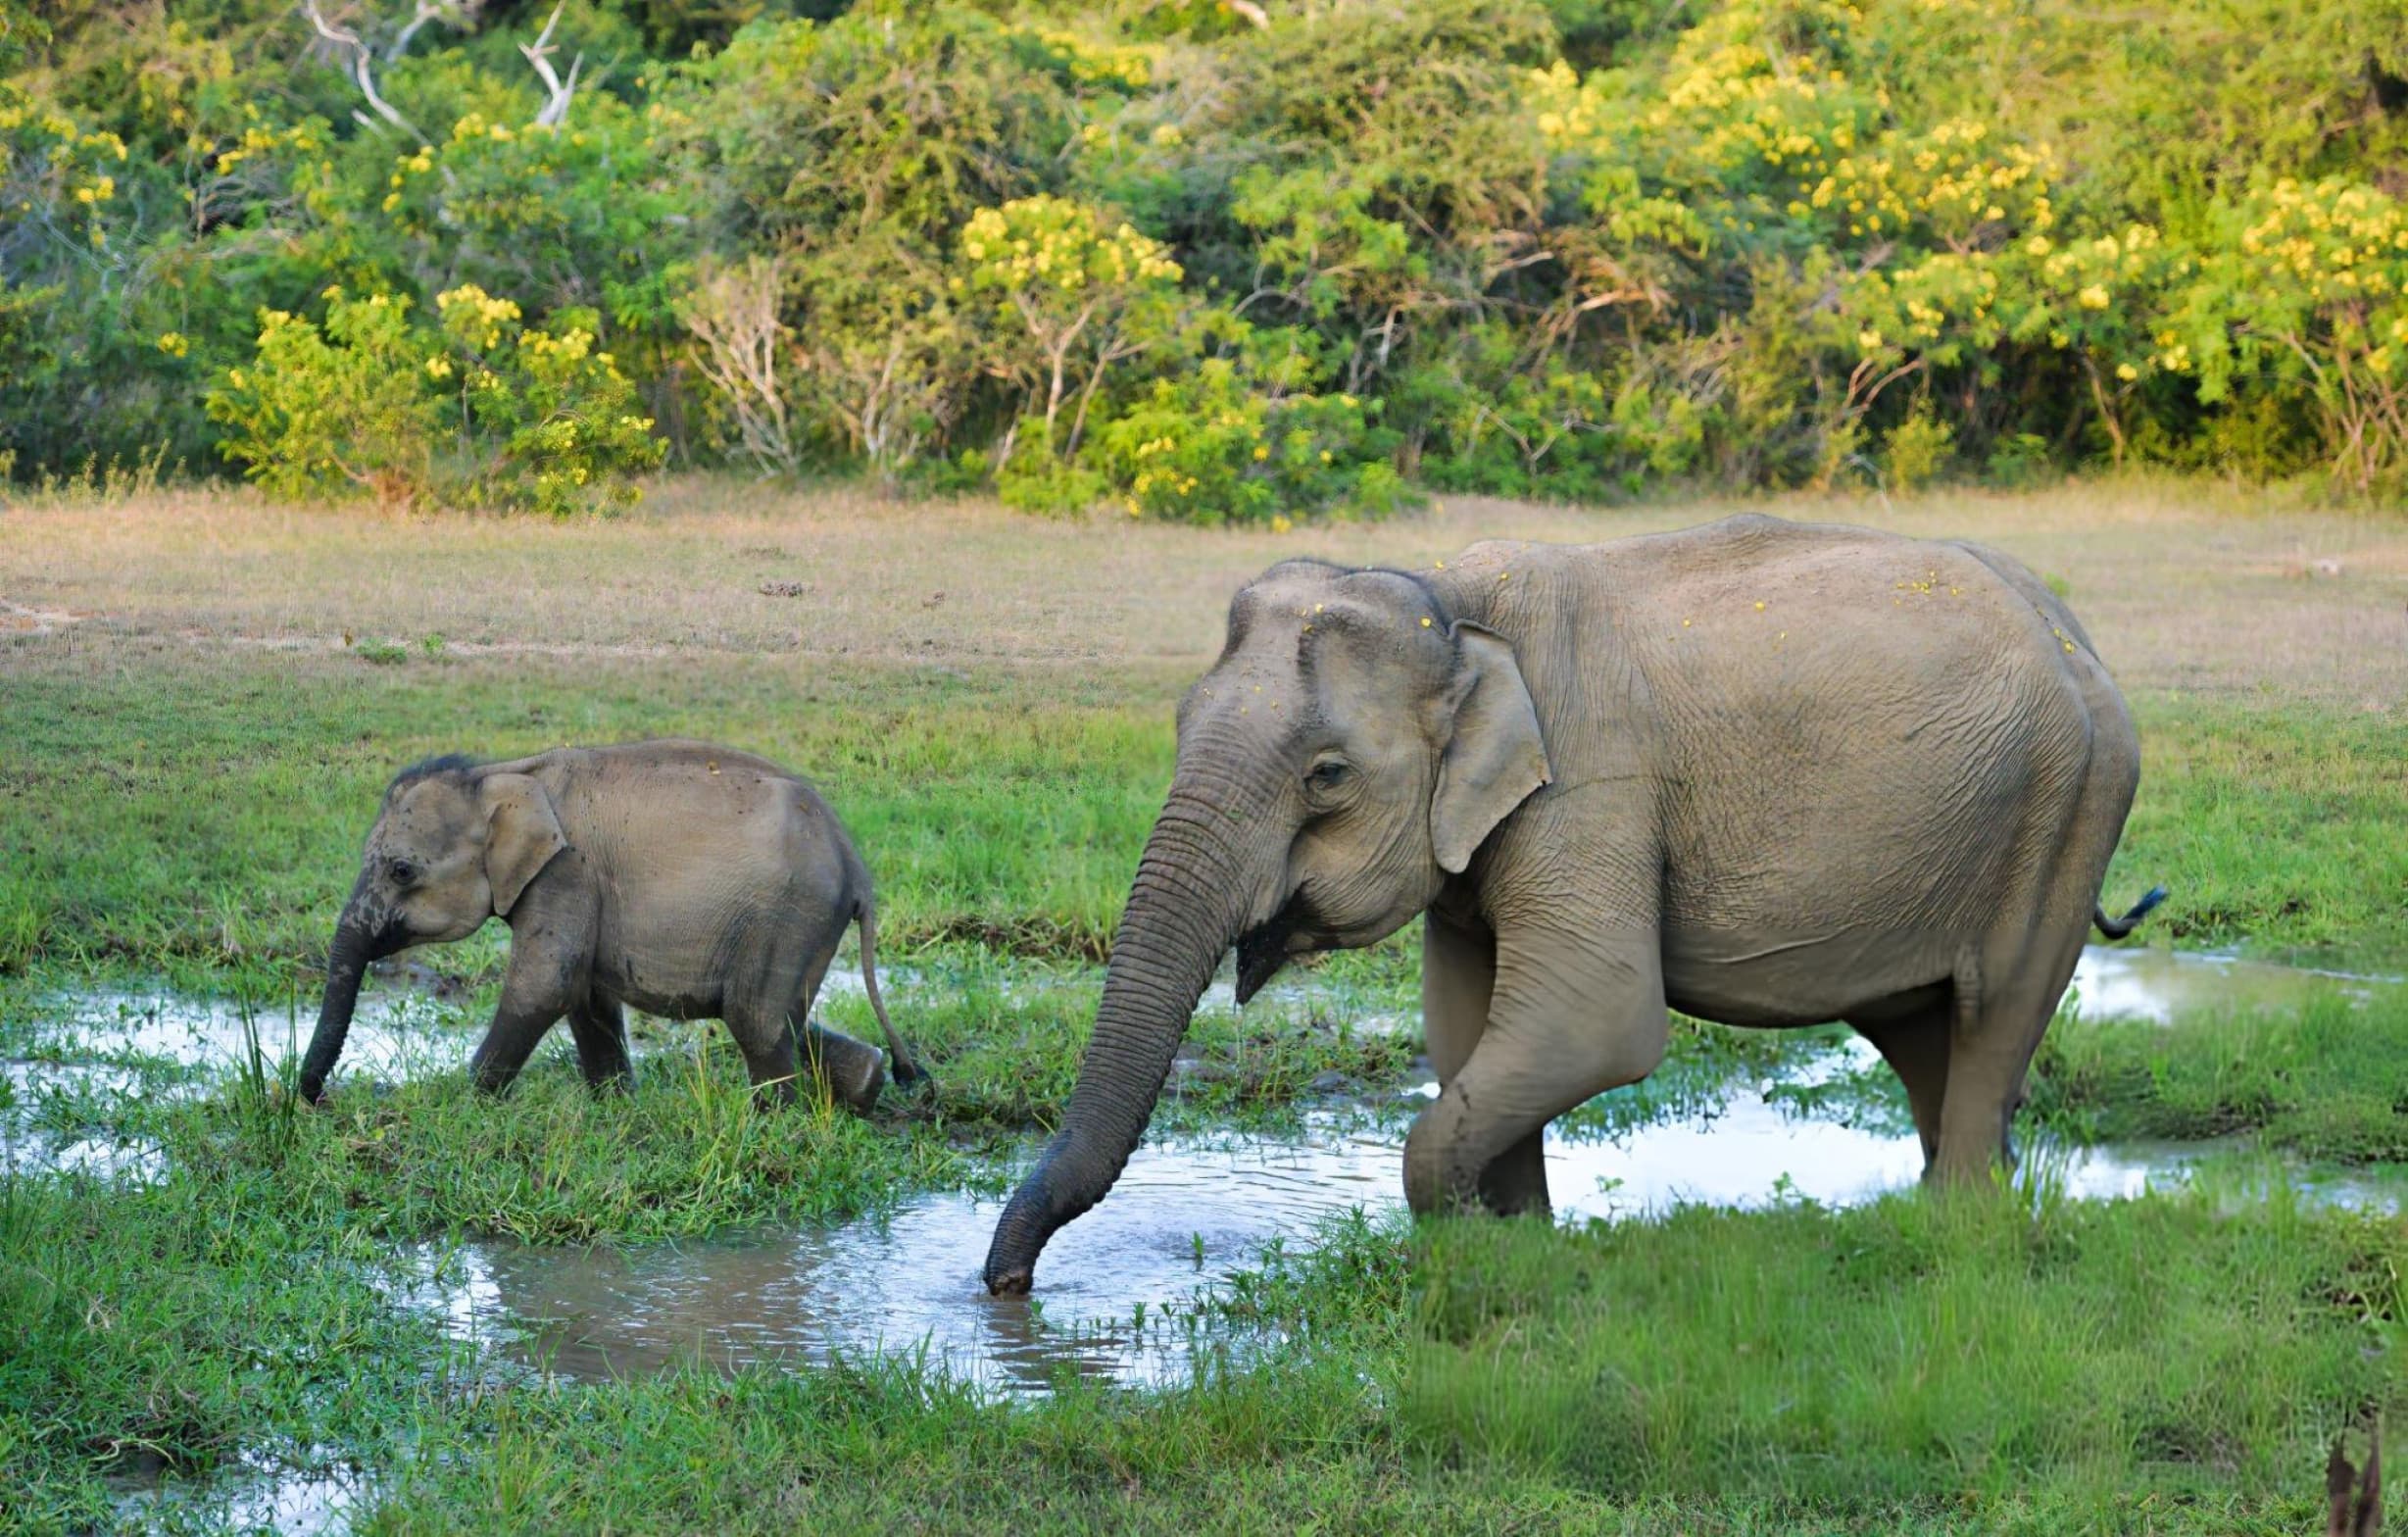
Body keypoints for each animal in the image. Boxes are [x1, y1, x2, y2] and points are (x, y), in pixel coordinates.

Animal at [298, 739, 926, 1109]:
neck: (502, 775)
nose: (312, 1102)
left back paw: (771, 1121)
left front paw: (464, 1104)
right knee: (781, 1014)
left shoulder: (567, 872)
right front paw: (617, 1108)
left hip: (789, 912)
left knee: (756, 1017)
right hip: (805, 921)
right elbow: (585, 994)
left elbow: (545, 985)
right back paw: (867, 1084)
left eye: (401, 870)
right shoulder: (579, 886)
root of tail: (855, 862)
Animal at [984, 512, 2161, 1293]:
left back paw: (1958, 1240)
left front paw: (1473, 1250)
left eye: (1326, 775)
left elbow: (1597, 1022)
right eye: (1180, 722)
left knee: (1994, 1014)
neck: (1449, 600)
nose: (1005, 1288)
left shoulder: (1591, 789)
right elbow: (1466, 1029)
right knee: (1924, 1036)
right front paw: (1518, 1244)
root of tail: (2077, 633)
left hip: (2068, 810)